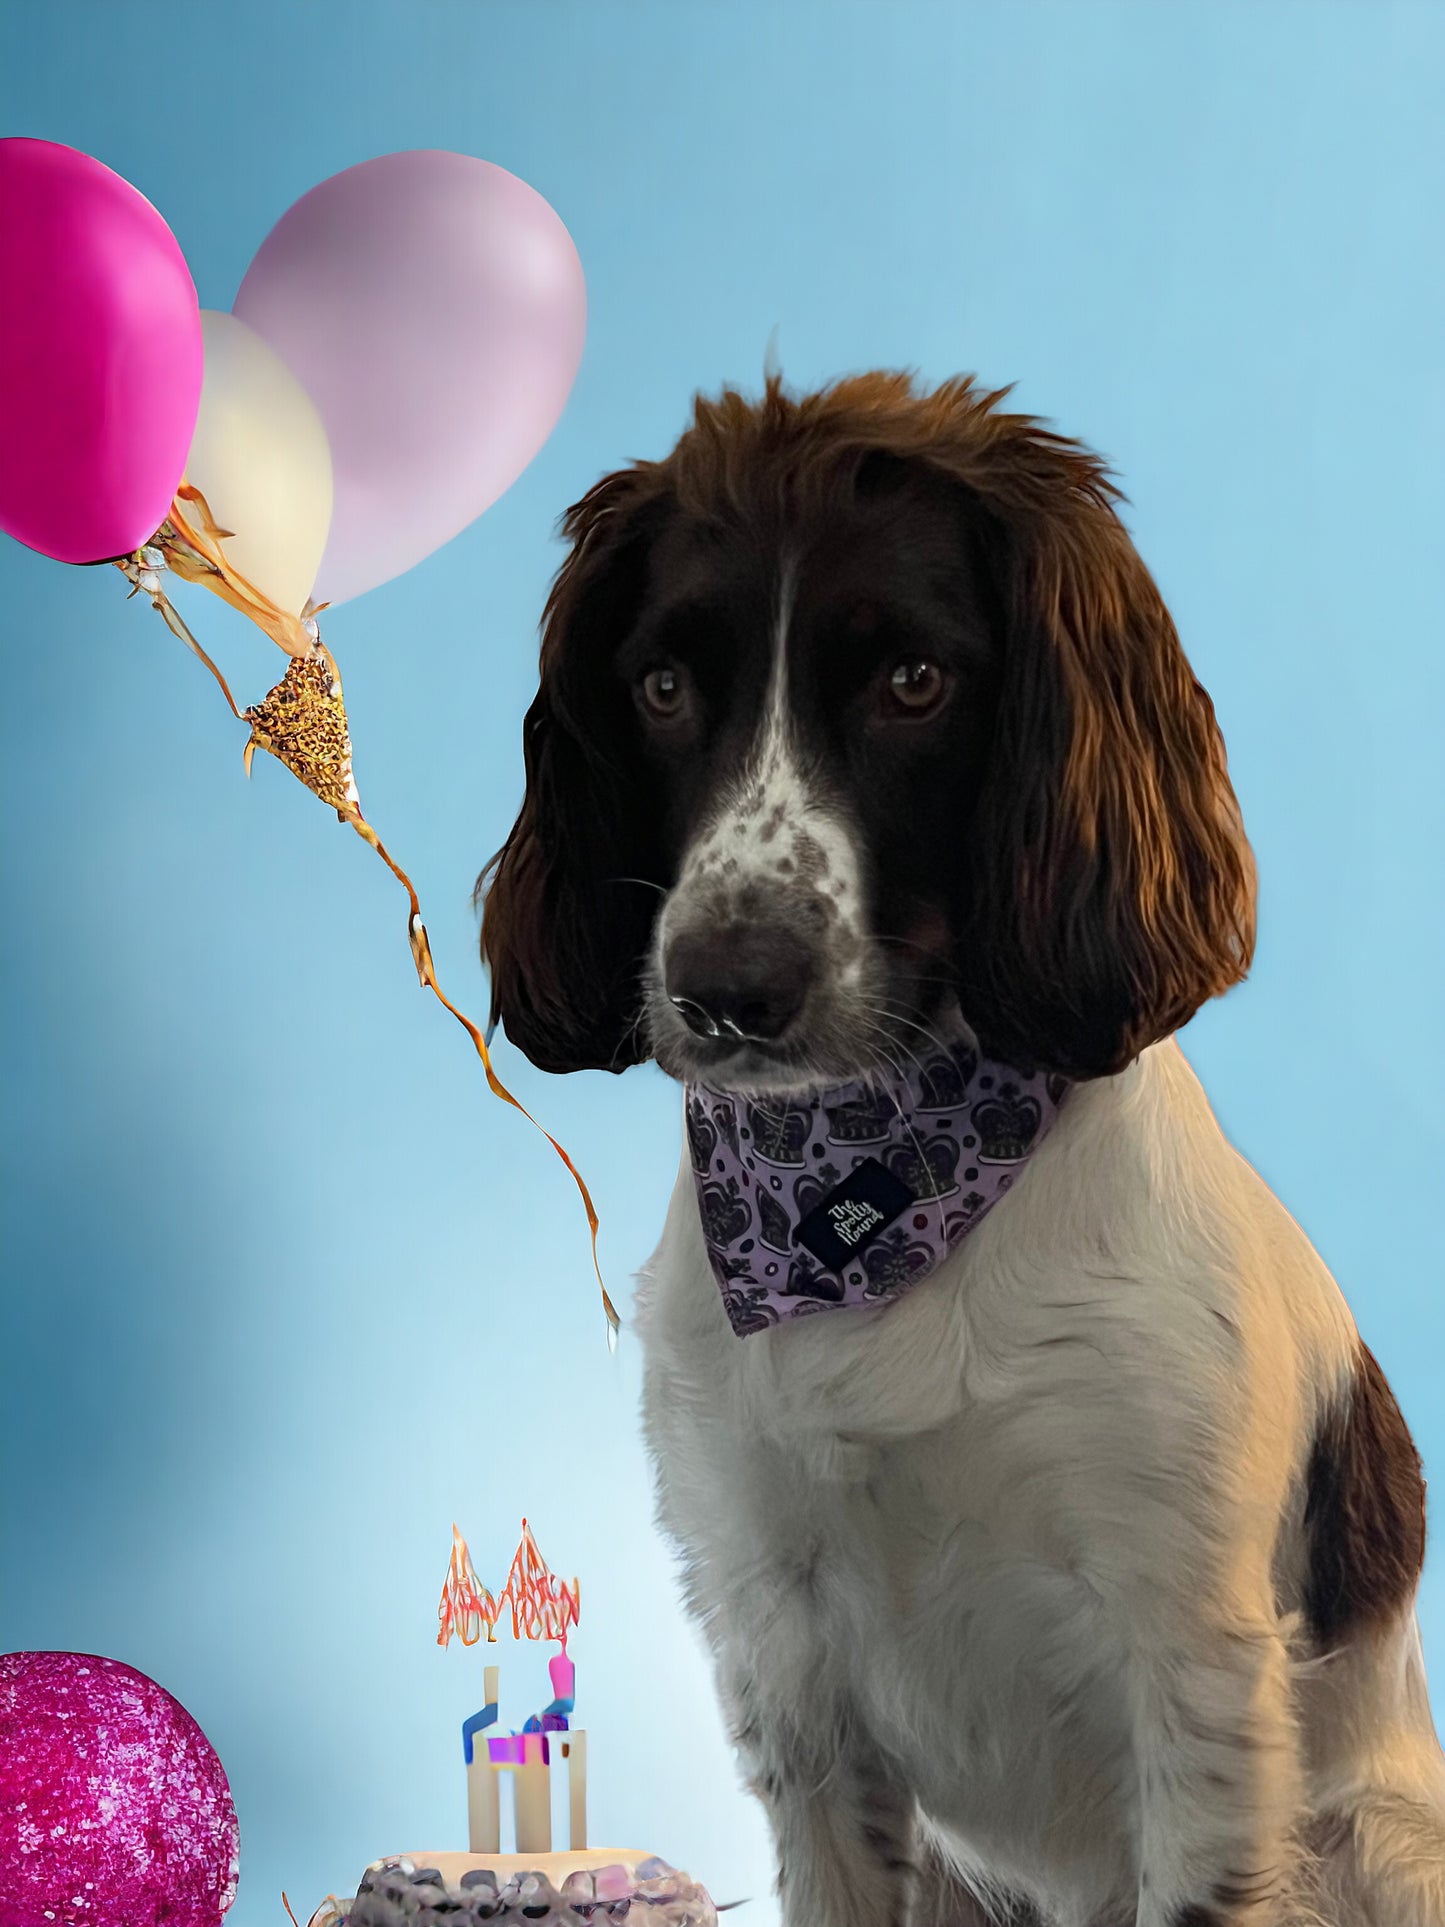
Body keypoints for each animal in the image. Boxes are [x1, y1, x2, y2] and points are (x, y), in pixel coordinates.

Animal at [477, 375, 1445, 1927]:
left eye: (913, 680)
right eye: (662, 687)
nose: (723, 986)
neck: (868, 1189)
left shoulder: (1191, 1664)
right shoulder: (784, 1660)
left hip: (1373, 1838)